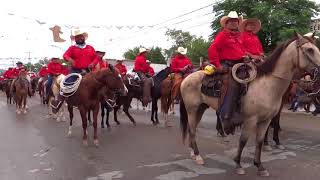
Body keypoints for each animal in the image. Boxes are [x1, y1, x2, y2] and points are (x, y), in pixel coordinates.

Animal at [179, 33, 320, 176]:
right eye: (309, 50)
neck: (267, 85)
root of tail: (187, 78)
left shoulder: (266, 120)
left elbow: (259, 141)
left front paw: (260, 166)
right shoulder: (250, 119)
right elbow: (243, 140)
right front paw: (238, 164)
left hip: (200, 108)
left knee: (192, 129)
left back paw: (193, 153)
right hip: (192, 109)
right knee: (192, 129)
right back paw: (198, 156)